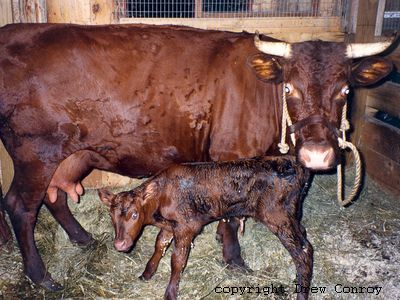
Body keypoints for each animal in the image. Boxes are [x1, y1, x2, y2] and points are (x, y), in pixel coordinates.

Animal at [99, 155, 312, 300]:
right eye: (111, 216)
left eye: (135, 214)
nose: (120, 244)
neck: (162, 196)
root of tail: (293, 162)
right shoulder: (170, 226)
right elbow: (159, 245)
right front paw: (147, 273)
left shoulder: (187, 226)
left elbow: (177, 260)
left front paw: (170, 293)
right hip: (292, 216)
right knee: (303, 234)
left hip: (278, 217)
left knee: (304, 251)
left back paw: (301, 293)